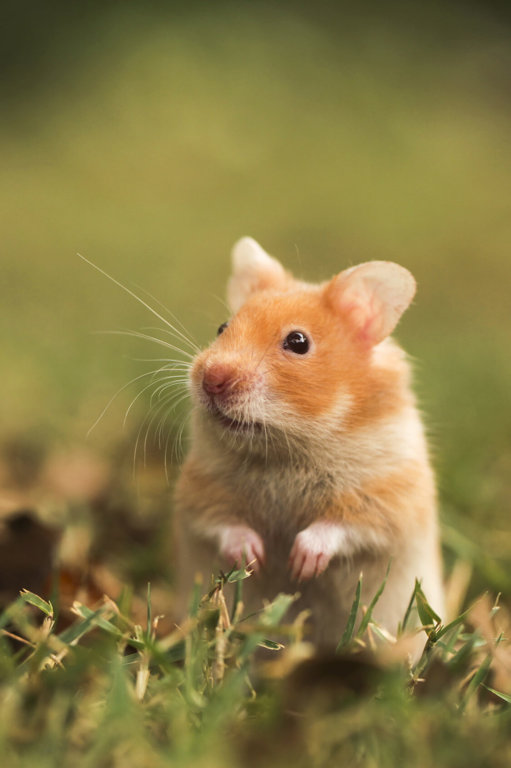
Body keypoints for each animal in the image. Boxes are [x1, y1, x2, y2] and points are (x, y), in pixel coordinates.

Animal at [173, 237, 443, 649]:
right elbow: (223, 523)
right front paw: (255, 559)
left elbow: (341, 526)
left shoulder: (389, 498)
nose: (213, 379)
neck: (286, 450)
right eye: (222, 327)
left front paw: (300, 565)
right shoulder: (200, 491)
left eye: (298, 342)